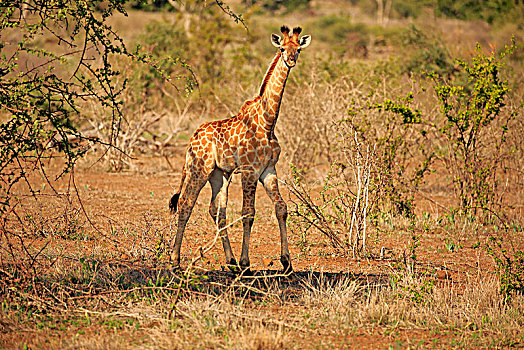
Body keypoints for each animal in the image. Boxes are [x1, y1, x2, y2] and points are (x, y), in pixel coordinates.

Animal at [169, 25, 312, 274]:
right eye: (282, 48)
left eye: (299, 49)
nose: (291, 60)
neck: (267, 122)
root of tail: (192, 138)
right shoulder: (249, 170)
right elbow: (248, 213)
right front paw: (246, 263)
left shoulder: (268, 170)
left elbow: (281, 208)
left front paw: (286, 262)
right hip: (199, 169)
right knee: (186, 204)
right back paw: (176, 261)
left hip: (219, 174)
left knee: (216, 210)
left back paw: (231, 261)